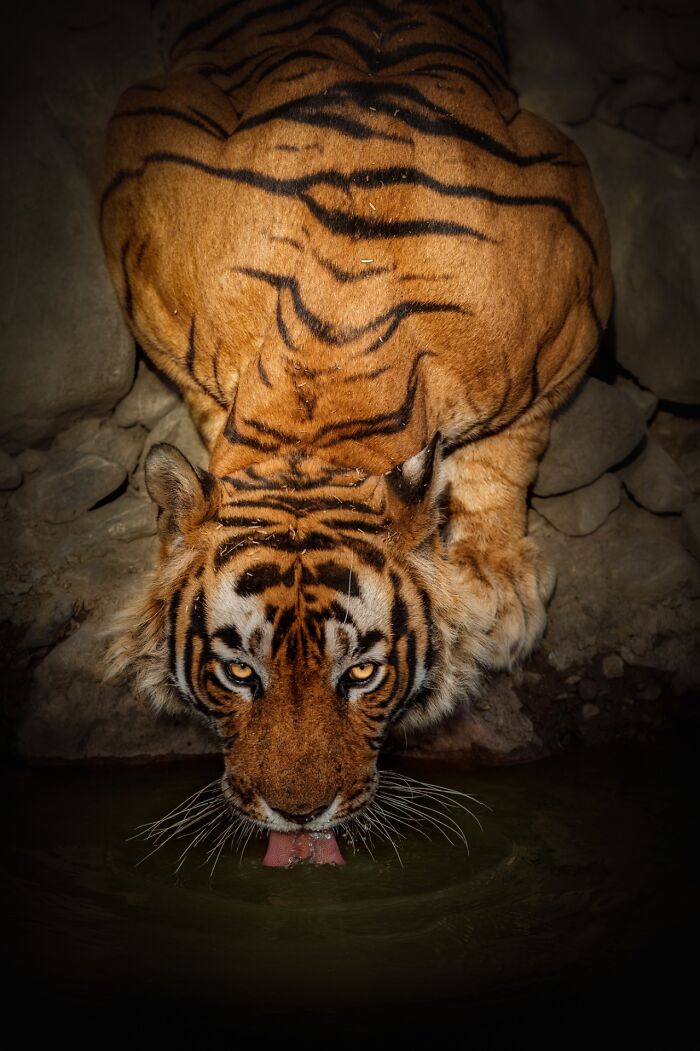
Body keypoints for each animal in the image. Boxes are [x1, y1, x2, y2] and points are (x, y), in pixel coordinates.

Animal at [101, 0, 612, 863]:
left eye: (362, 675)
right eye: (239, 673)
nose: (299, 814)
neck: (326, 394)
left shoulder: (576, 281)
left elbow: (514, 443)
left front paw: (497, 590)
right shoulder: (144, 160)